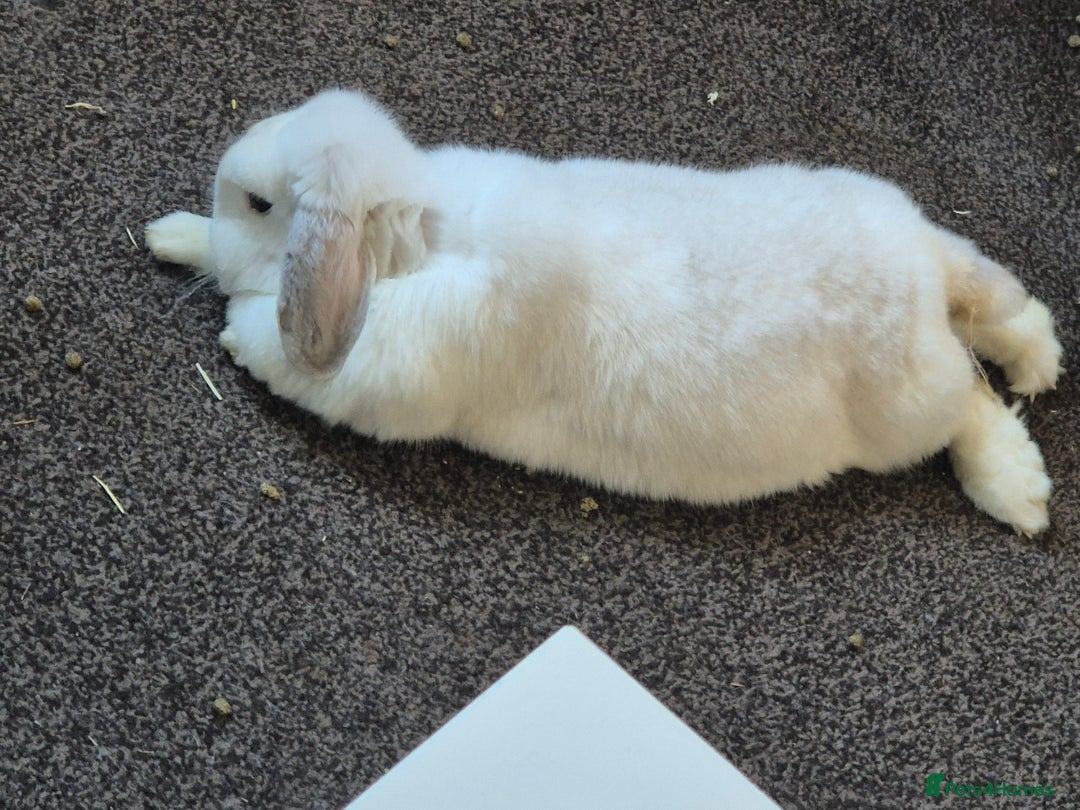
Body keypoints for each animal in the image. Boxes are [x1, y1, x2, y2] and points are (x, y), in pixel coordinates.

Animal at [146, 88, 1063, 536]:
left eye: (260, 203)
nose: (217, 210)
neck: (417, 239)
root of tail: (922, 277)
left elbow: (262, 333)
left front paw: (223, 311)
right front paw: (172, 234)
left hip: (906, 413)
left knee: (970, 401)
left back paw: (1015, 494)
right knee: (1004, 338)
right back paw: (1035, 399)